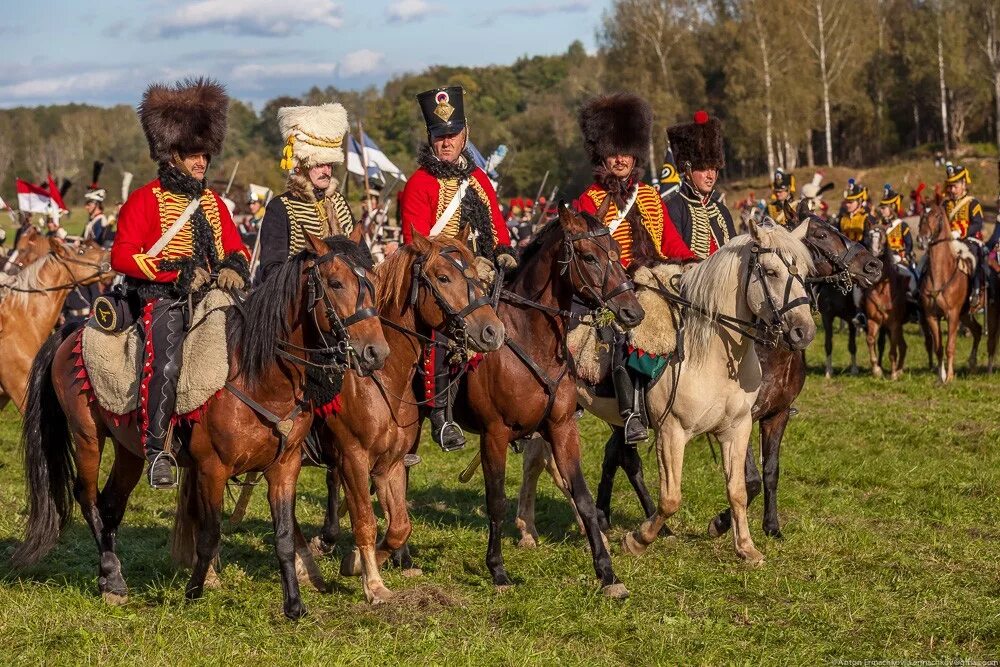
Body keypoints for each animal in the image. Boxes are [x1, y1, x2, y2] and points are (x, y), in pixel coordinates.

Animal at [11, 234, 388, 620]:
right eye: (336, 283)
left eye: (372, 284)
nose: (376, 353)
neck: (260, 376)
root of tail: (73, 330)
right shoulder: (212, 469)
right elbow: (209, 534)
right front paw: (194, 591)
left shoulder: (285, 467)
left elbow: (283, 536)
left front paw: (294, 605)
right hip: (88, 437)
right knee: (87, 498)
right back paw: (112, 579)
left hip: (128, 450)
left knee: (111, 505)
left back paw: (110, 578)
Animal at [864, 226, 912, 378]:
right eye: (869, 235)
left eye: (883, 236)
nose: (873, 254)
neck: (881, 289)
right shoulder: (873, 320)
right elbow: (870, 340)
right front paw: (877, 370)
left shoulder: (894, 324)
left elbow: (892, 351)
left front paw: (893, 375)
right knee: (903, 346)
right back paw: (900, 369)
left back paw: (898, 371)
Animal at [916, 204, 980, 384]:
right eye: (922, 215)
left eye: (937, 216)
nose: (922, 240)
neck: (940, 275)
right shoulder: (932, 316)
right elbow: (938, 347)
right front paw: (941, 376)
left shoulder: (952, 315)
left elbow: (950, 346)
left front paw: (950, 377)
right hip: (965, 315)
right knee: (978, 331)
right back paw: (972, 364)